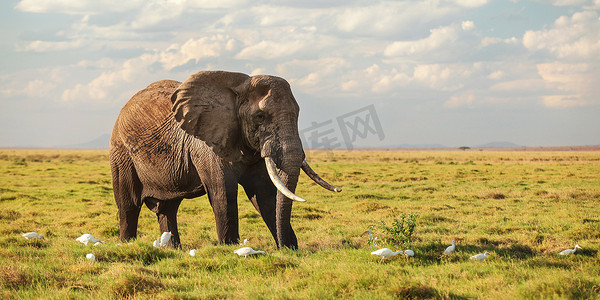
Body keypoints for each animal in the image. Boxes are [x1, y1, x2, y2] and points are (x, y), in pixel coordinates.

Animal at [109, 69, 340, 248]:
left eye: (297, 114)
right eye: (260, 117)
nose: (285, 247)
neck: (238, 87)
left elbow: (265, 194)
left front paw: (290, 249)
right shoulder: (207, 144)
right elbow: (223, 192)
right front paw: (230, 248)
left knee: (168, 209)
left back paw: (173, 250)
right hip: (121, 154)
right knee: (129, 206)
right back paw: (127, 245)